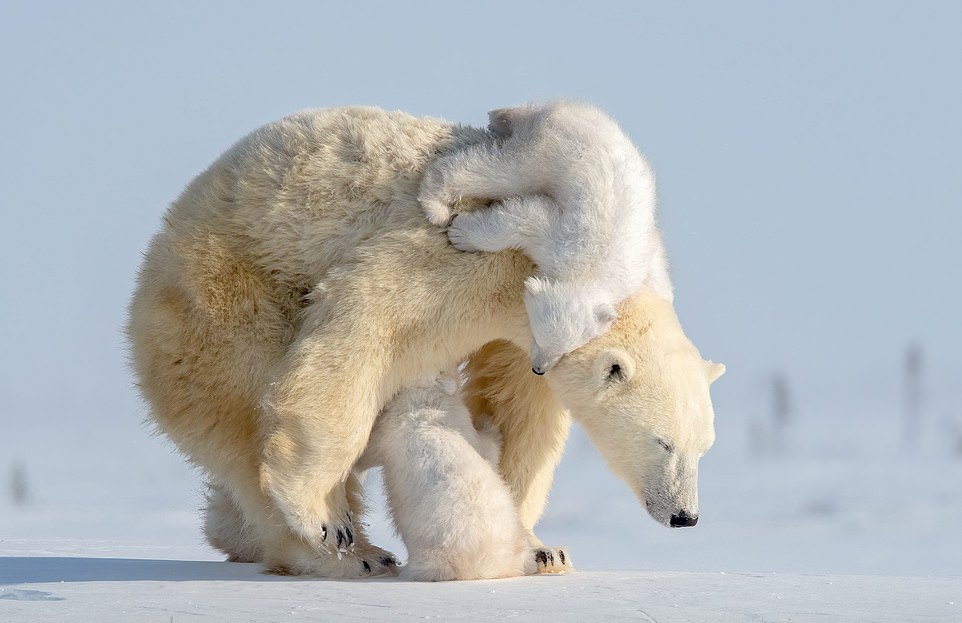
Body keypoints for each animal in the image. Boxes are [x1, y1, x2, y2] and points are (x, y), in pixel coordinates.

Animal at [129, 105, 728, 576]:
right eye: (663, 442)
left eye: (703, 447)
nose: (686, 517)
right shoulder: (480, 261)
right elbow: (371, 314)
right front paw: (321, 513)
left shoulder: (523, 336)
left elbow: (517, 409)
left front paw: (543, 549)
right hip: (225, 291)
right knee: (246, 403)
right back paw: (348, 549)